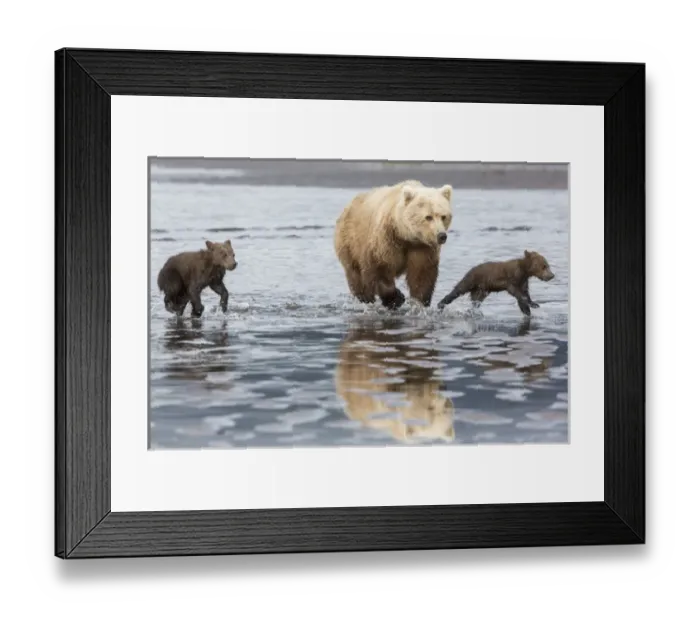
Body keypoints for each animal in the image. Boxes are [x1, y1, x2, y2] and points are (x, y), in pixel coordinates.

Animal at [334, 180, 454, 309]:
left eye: (443, 216)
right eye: (428, 217)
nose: (441, 235)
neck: (405, 235)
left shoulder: (422, 246)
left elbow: (422, 274)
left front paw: (419, 302)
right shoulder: (385, 239)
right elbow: (378, 267)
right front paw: (397, 298)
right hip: (350, 242)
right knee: (356, 276)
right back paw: (365, 299)